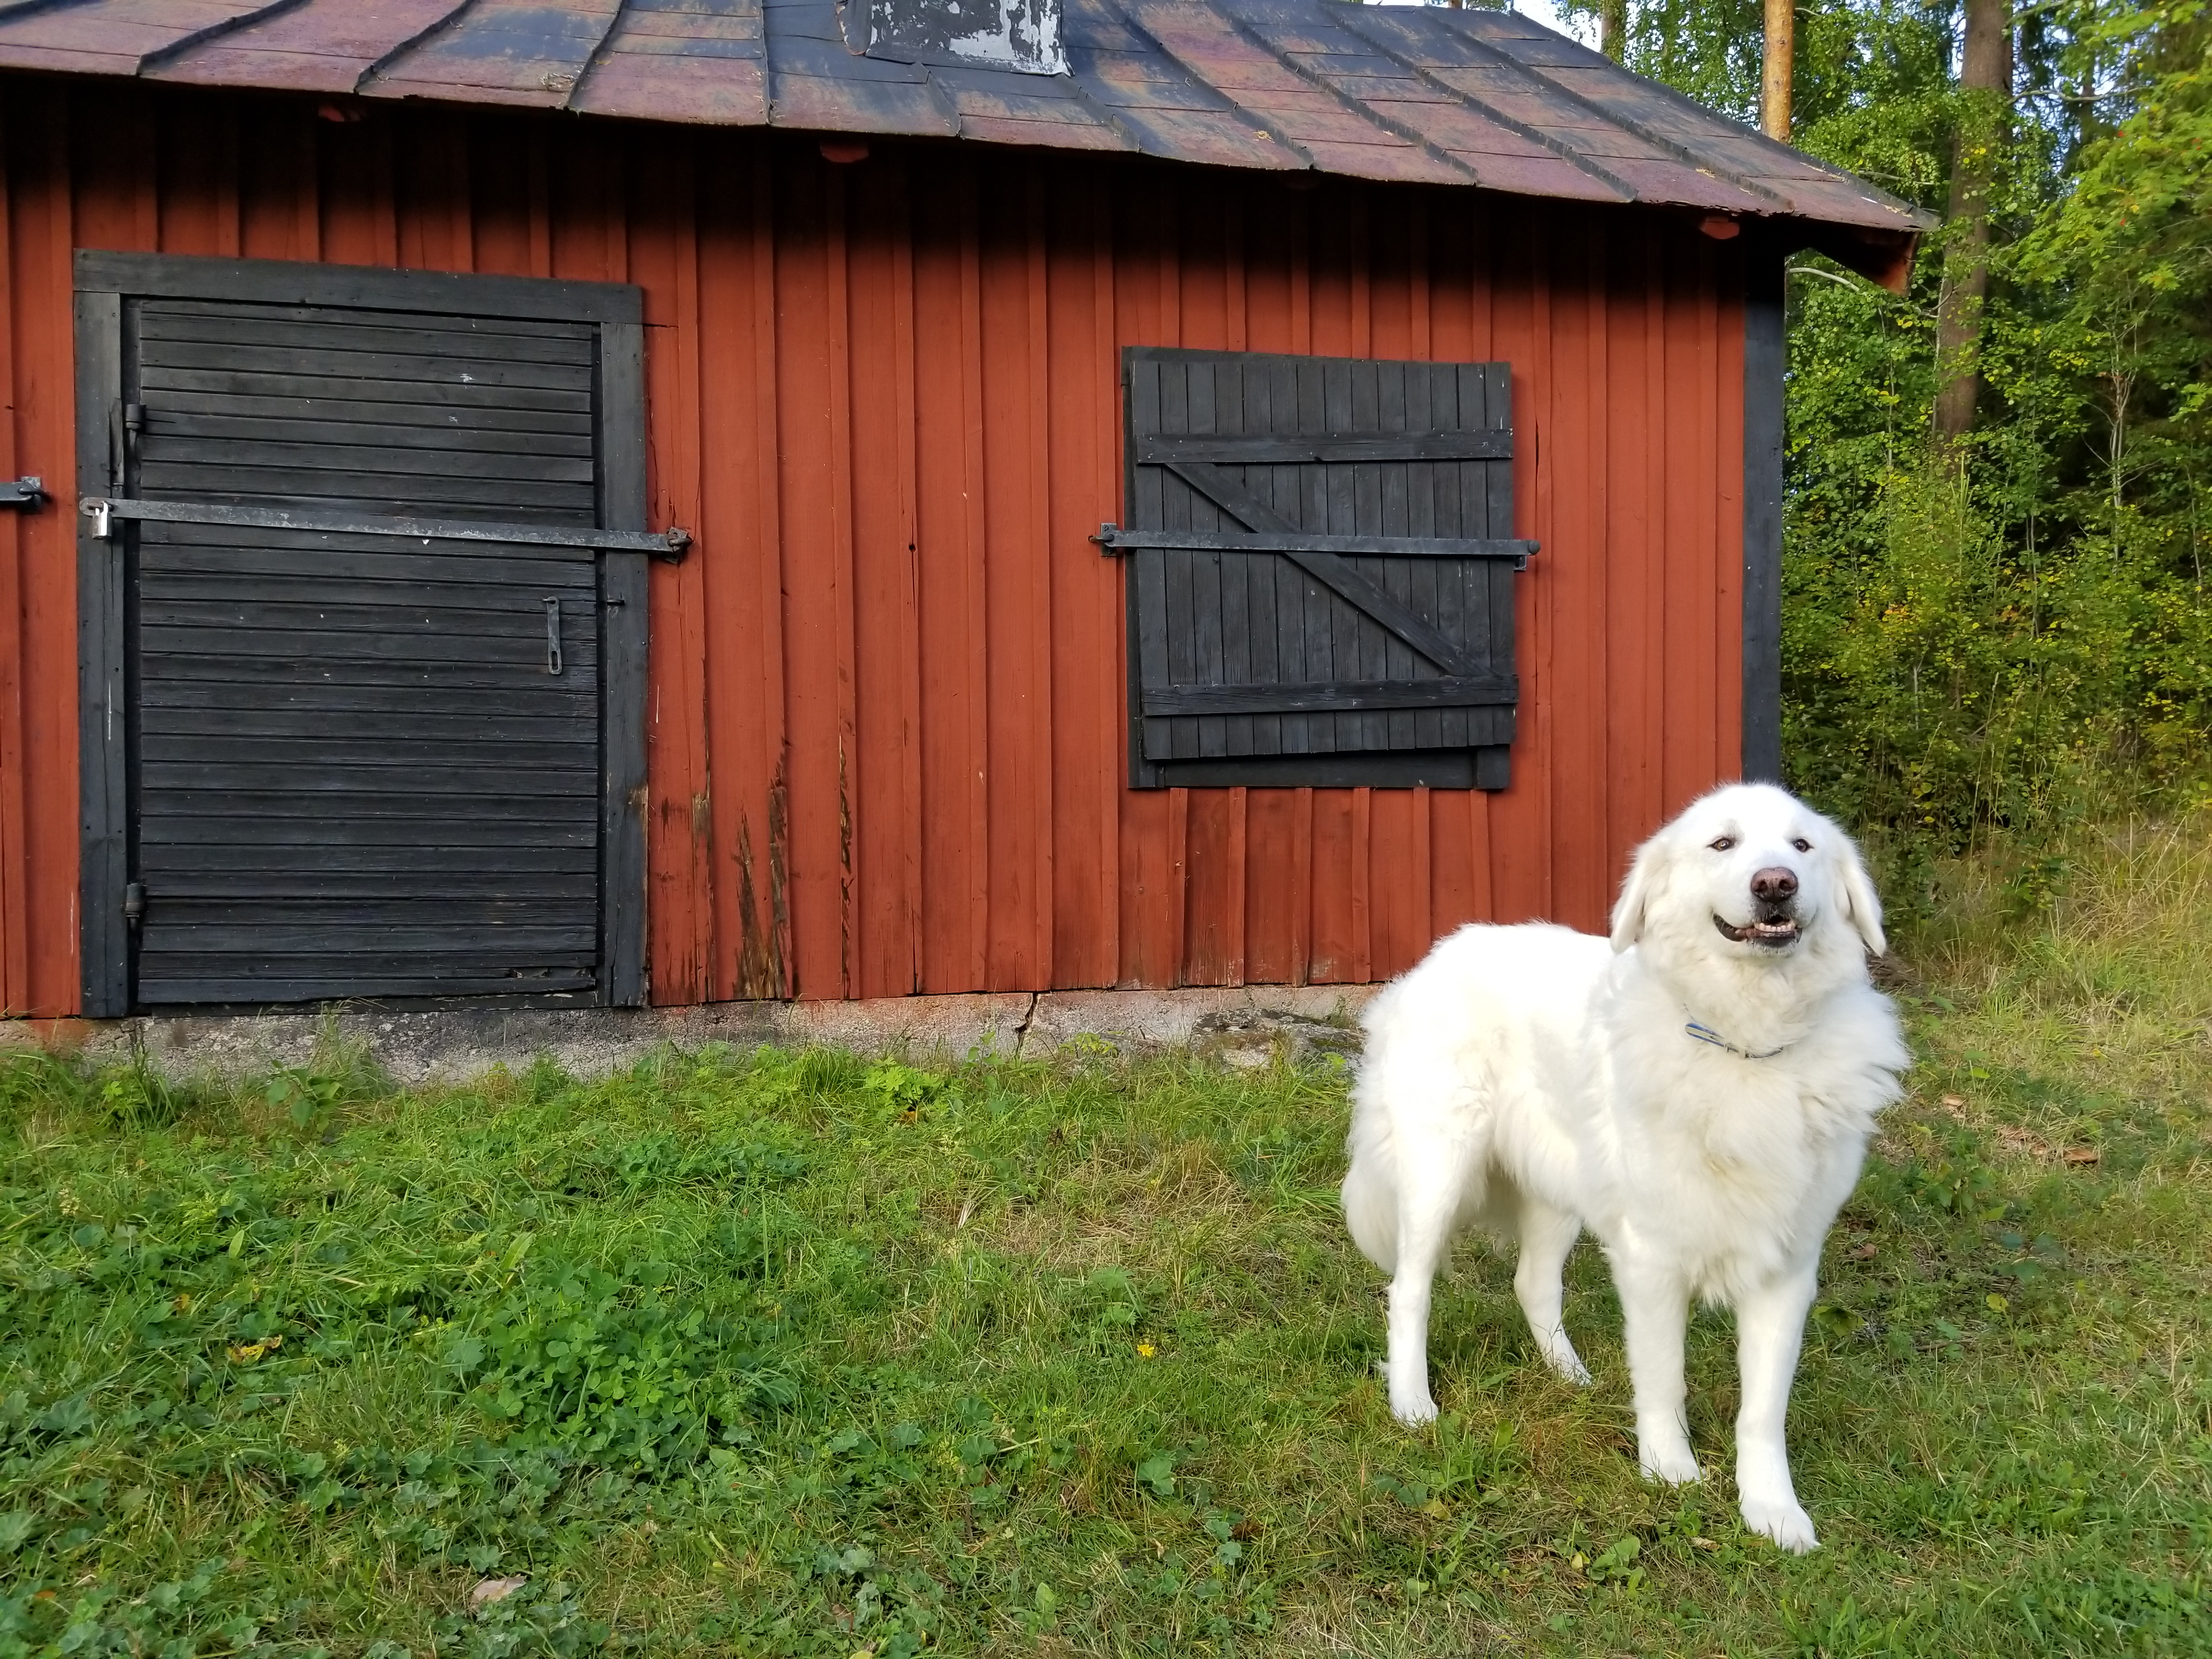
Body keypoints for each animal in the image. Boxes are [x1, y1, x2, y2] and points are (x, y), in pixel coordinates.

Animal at [1336, 787, 1911, 1557]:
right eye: (1723, 845)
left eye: (1802, 847)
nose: (1776, 886)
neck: (1746, 1045)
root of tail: (1433, 958)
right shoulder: (1653, 1260)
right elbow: (1665, 1379)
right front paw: (1670, 1472)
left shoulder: (1786, 1270)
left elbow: (1763, 1411)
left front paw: (1772, 1512)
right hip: (1439, 1171)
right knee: (1409, 1292)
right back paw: (1413, 1404)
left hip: (1561, 1189)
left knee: (1532, 1283)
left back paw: (1569, 1375)